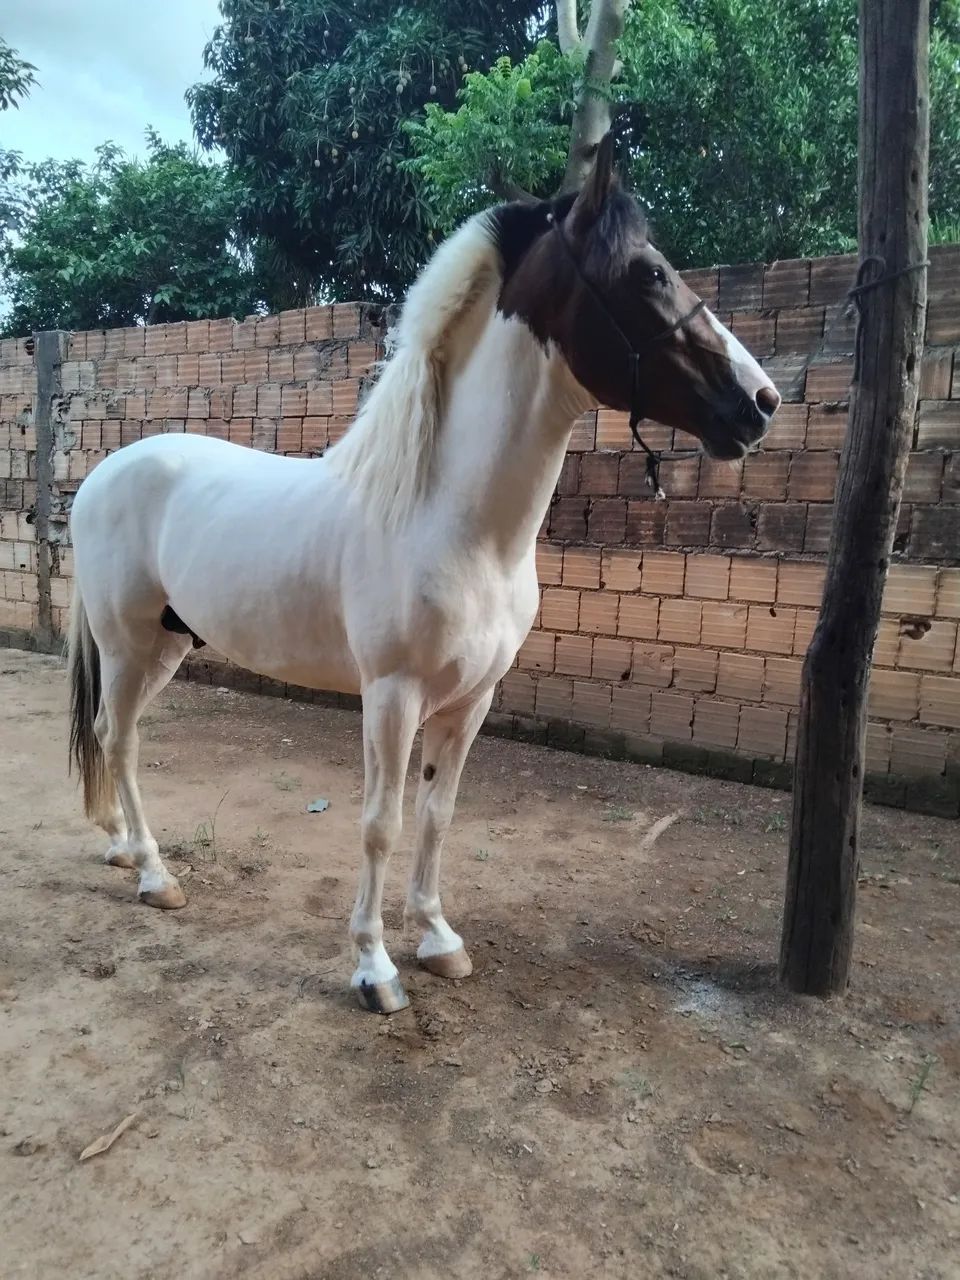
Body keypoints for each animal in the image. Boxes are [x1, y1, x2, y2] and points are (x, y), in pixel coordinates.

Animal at [66, 135, 780, 1013]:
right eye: (648, 272)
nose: (760, 401)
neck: (457, 523)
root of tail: (102, 475)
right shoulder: (391, 695)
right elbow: (383, 822)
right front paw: (375, 968)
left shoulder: (472, 699)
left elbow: (439, 813)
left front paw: (438, 939)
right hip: (125, 644)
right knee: (120, 739)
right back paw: (155, 874)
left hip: (169, 646)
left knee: (117, 738)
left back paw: (124, 850)